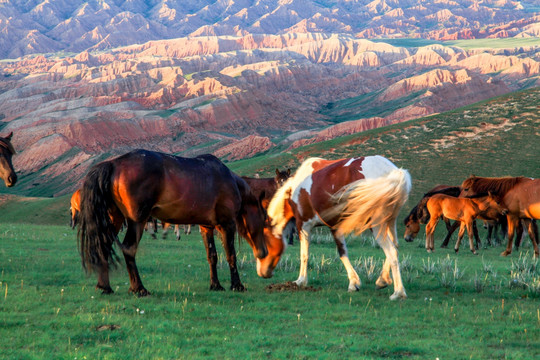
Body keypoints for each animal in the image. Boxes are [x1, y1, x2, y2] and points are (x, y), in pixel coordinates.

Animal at [77, 149, 268, 296]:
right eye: (264, 221)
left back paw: (105, 287)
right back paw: (139, 288)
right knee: (129, 248)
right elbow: (231, 255)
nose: (264, 252)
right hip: (137, 221)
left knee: (104, 246)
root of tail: (114, 164)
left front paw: (216, 285)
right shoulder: (226, 224)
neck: (230, 181)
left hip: (114, 219)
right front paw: (237, 285)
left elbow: (212, 256)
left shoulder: (206, 227)